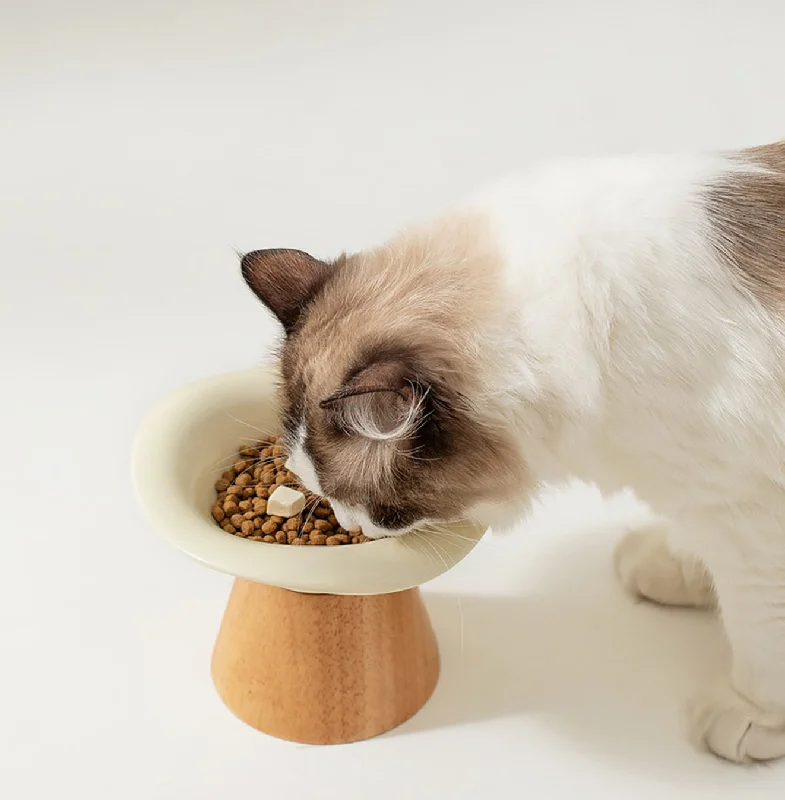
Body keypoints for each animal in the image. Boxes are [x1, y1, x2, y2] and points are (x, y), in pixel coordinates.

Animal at [242, 139, 784, 764]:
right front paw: (676, 568)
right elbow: (701, 550)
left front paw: (749, 715)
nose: (350, 524)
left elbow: (758, 624)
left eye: (380, 510)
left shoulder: (749, 511)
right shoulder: (705, 488)